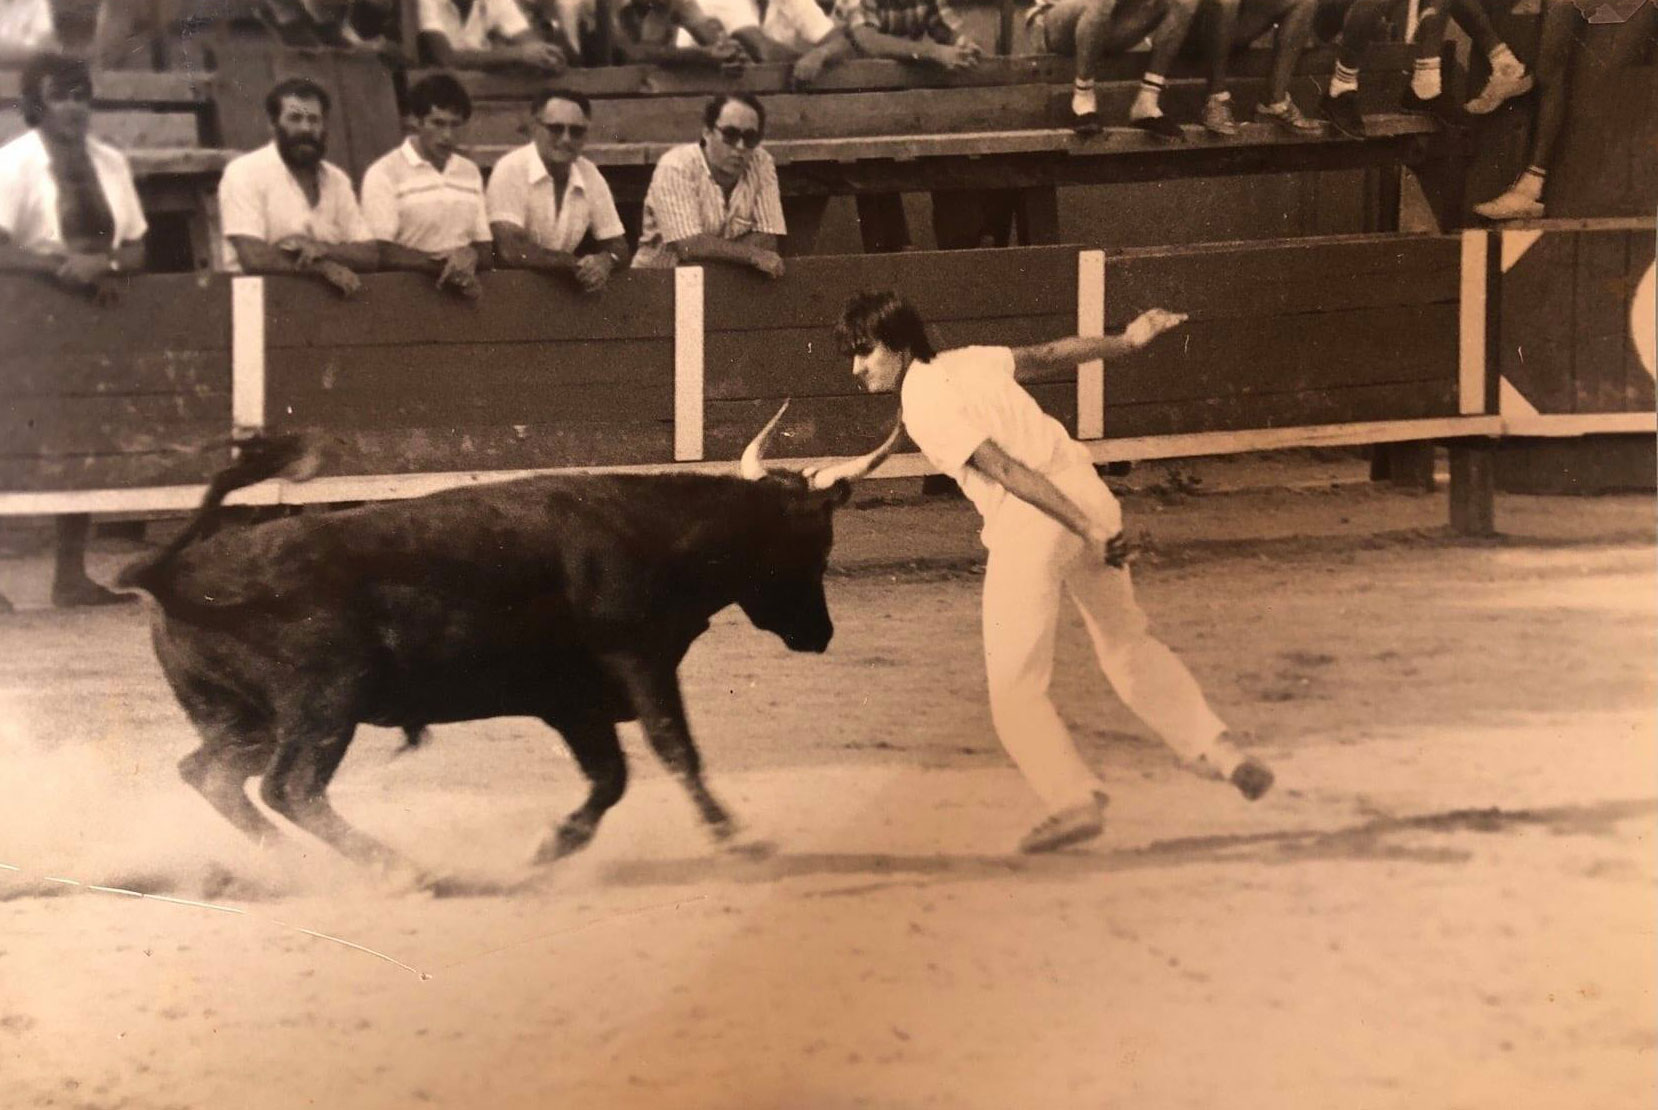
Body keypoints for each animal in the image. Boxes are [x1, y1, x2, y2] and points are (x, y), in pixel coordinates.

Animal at [118, 403, 901, 876]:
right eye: (817, 544)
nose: (819, 634)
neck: (649, 531)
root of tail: (172, 572)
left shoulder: (575, 699)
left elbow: (611, 779)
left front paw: (550, 845)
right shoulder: (638, 661)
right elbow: (674, 749)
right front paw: (740, 837)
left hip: (243, 718)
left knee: (213, 775)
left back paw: (294, 866)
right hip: (325, 702)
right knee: (291, 787)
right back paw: (402, 872)